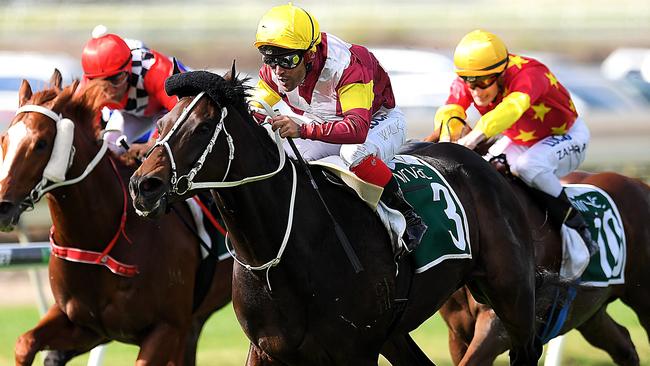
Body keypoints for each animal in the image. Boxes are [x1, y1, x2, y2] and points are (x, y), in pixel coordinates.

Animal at [0, 70, 233, 364]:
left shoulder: (167, 328)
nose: (3, 206)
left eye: (41, 143)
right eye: (5, 139)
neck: (100, 238)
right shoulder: (87, 325)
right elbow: (25, 343)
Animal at [128, 70, 548, 364]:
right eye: (161, 124)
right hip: (395, 333)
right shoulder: (267, 348)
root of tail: (478, 161)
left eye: (201, 128)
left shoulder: (354, 351)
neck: (282, 251)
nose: (143, 186)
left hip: (511, 297)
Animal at [420, 126, 648, 366]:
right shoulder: (458, 334)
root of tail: (640, 185)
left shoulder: (500, 324)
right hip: (590, 312)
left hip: (642, 295)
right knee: (623, 343)